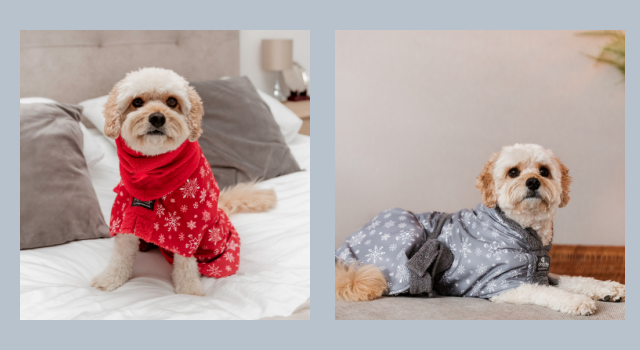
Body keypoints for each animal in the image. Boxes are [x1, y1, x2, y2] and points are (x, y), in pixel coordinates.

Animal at [91, 67, 276, 296]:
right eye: (137, 102)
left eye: (172, 101)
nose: (157, 117)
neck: (153, 171)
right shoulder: (126, 211)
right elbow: (121, 252)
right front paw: (109, 279)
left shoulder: (189, 224)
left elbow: (186, 260)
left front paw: (189, 289)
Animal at [336, 144, 624, 316]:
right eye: (513, 172)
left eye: (544, 171)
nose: (533, 181)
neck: (521, 231)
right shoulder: (504, 285)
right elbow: (547, 292)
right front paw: (577, 301)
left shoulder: (542, 274)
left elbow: (573, 280)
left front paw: (609, 289)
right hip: (409, 228)